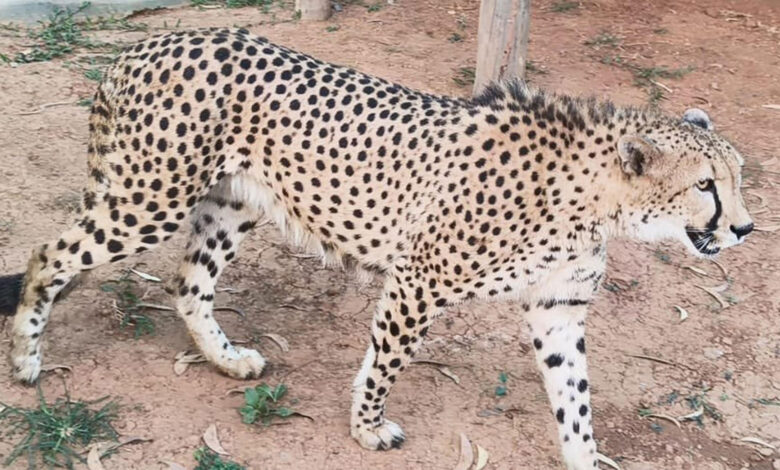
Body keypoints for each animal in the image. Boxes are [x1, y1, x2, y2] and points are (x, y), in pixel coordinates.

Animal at [0, 28, 753, 469]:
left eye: (740, 177)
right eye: (706, 185)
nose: (745, 229)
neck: (596, 197)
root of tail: (151, 40)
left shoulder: (557, 309)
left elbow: (576, 399)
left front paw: (584, 457)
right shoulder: (419, 278)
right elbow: (386, 360)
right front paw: (367, 429)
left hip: (234, 202)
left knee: (190, 282)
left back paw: (226, 359)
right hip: (147, 199)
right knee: (47, 255)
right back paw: (28, 360)